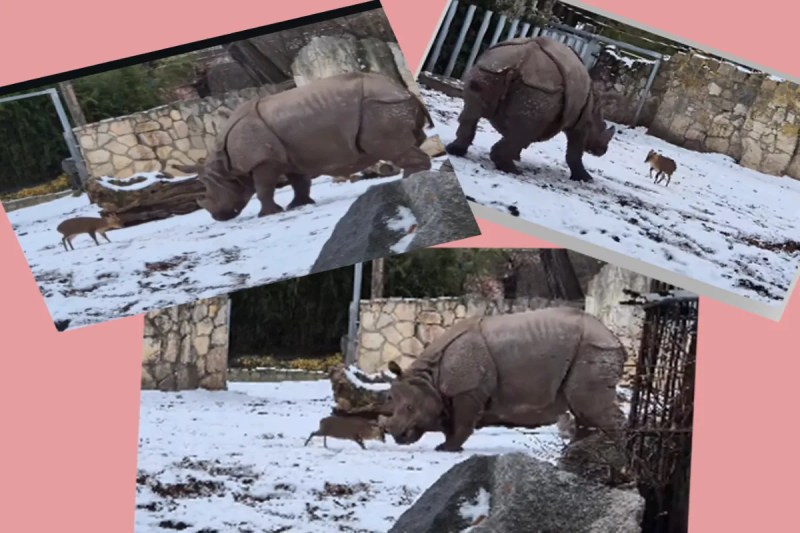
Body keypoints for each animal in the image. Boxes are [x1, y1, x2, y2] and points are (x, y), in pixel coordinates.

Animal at [175, 71, 434, 221]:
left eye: (210, 193)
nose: (219, 217)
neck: (223, 163)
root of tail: (403, 91)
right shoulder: (289, 156)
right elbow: (299, 182)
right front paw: (298, 206)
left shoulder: (263, 161)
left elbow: (263, 188)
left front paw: (267, 215)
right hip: (386, 105)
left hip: (379, 106)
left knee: (390, 147)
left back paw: (410, 180)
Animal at [379, 307, 627, 452]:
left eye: (410, 408)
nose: (396, 435)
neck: (429, 378)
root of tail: (614, 337)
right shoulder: (456, 393)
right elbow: (452, 422)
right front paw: (446, 445)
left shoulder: (468, 390)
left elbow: (462, 423)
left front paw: (446, 449)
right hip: (591, 348)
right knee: (582, 408)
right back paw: (572, 454)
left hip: (594, 348)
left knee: (587, 404)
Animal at [445, 37, 616, 182]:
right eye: (603, 128)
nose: (602, 150)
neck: (594, 110)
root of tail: (519, 62)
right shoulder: (581, 123)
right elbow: (575, 151)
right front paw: (585, 178)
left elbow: (514, 134)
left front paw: (516, 156)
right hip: (539, 89)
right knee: (524, 131)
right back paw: (513, 171)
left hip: (487, 70)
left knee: (472, 113)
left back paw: (454, 150)